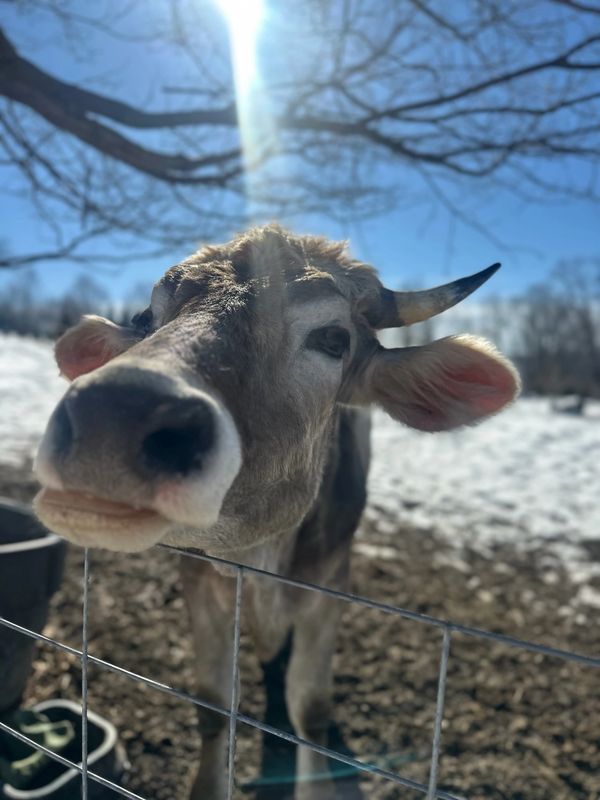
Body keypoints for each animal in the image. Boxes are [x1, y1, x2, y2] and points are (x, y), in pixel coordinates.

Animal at [33, 224, 519, 800]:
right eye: (145, 318)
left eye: (332, 339)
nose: (111, 417)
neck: (261, 561)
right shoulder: (198, 576)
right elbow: (213, 705)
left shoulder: (330, 581)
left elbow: (310, 710)